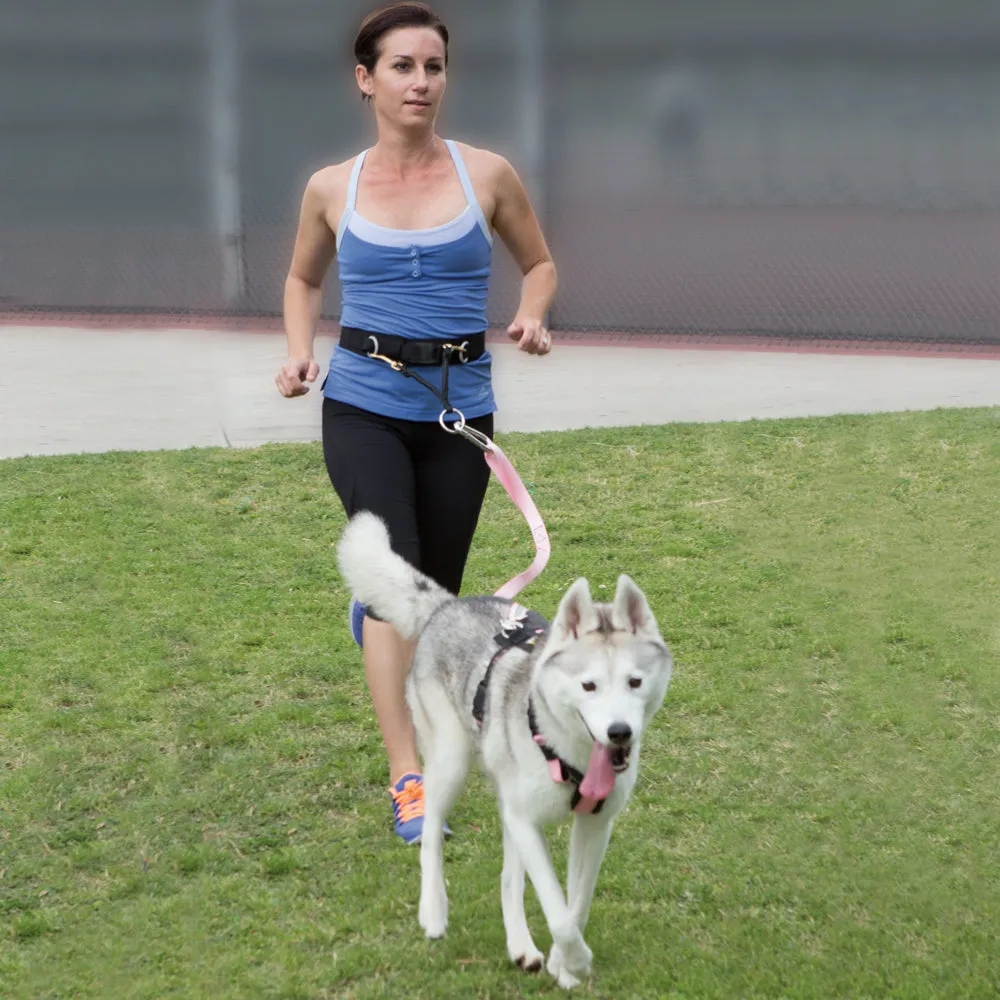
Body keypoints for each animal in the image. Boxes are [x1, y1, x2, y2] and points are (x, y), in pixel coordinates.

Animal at [336, 512, 672, 988]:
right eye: (588, 686)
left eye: (635, 682)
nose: (619, 733)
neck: (570, 755)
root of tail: (446, 606)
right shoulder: (527, 820)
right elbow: (559, 912)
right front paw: (575, 960)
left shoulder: (594, 824)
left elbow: (575, 905)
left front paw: (562, 964)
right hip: (451, 762)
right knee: (432, 834)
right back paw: (433, 911)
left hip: (507, 800)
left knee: (509, 878)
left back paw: (521, 947)